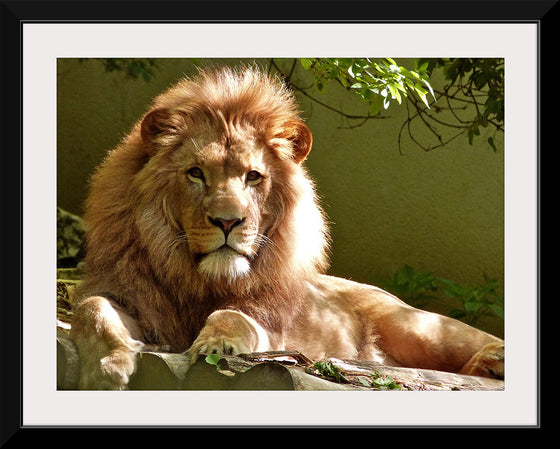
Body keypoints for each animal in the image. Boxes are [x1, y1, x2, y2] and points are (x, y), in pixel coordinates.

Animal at [70, 65, 504, 388]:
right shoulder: (131, 298)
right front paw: (109, 367)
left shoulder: (271, 330)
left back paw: (493, 359)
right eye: (196, 173)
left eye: (253, 176)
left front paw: (218, 344)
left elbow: (232, 316)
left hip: (418, 326)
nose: (228, 221)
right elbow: (92, 309)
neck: (199, 280)